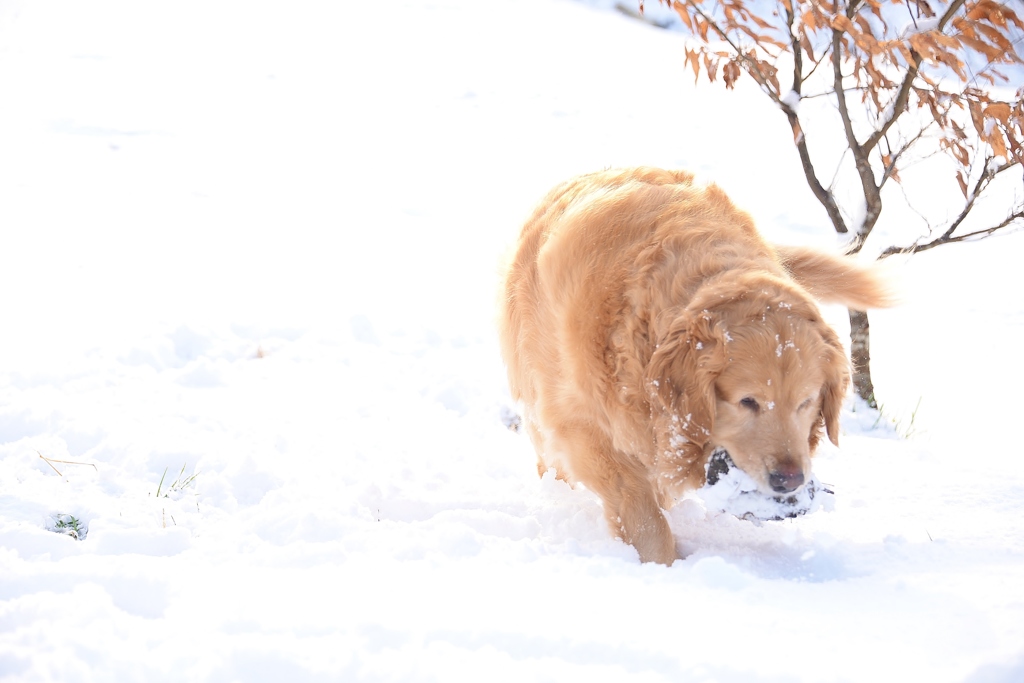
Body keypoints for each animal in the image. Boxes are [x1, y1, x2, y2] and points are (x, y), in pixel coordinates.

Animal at [499, 167, 892, 565]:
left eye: (806, 403)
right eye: (747, 402)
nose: (789, 479)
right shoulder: (583, 429)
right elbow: (643, 514)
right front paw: (662, 565)